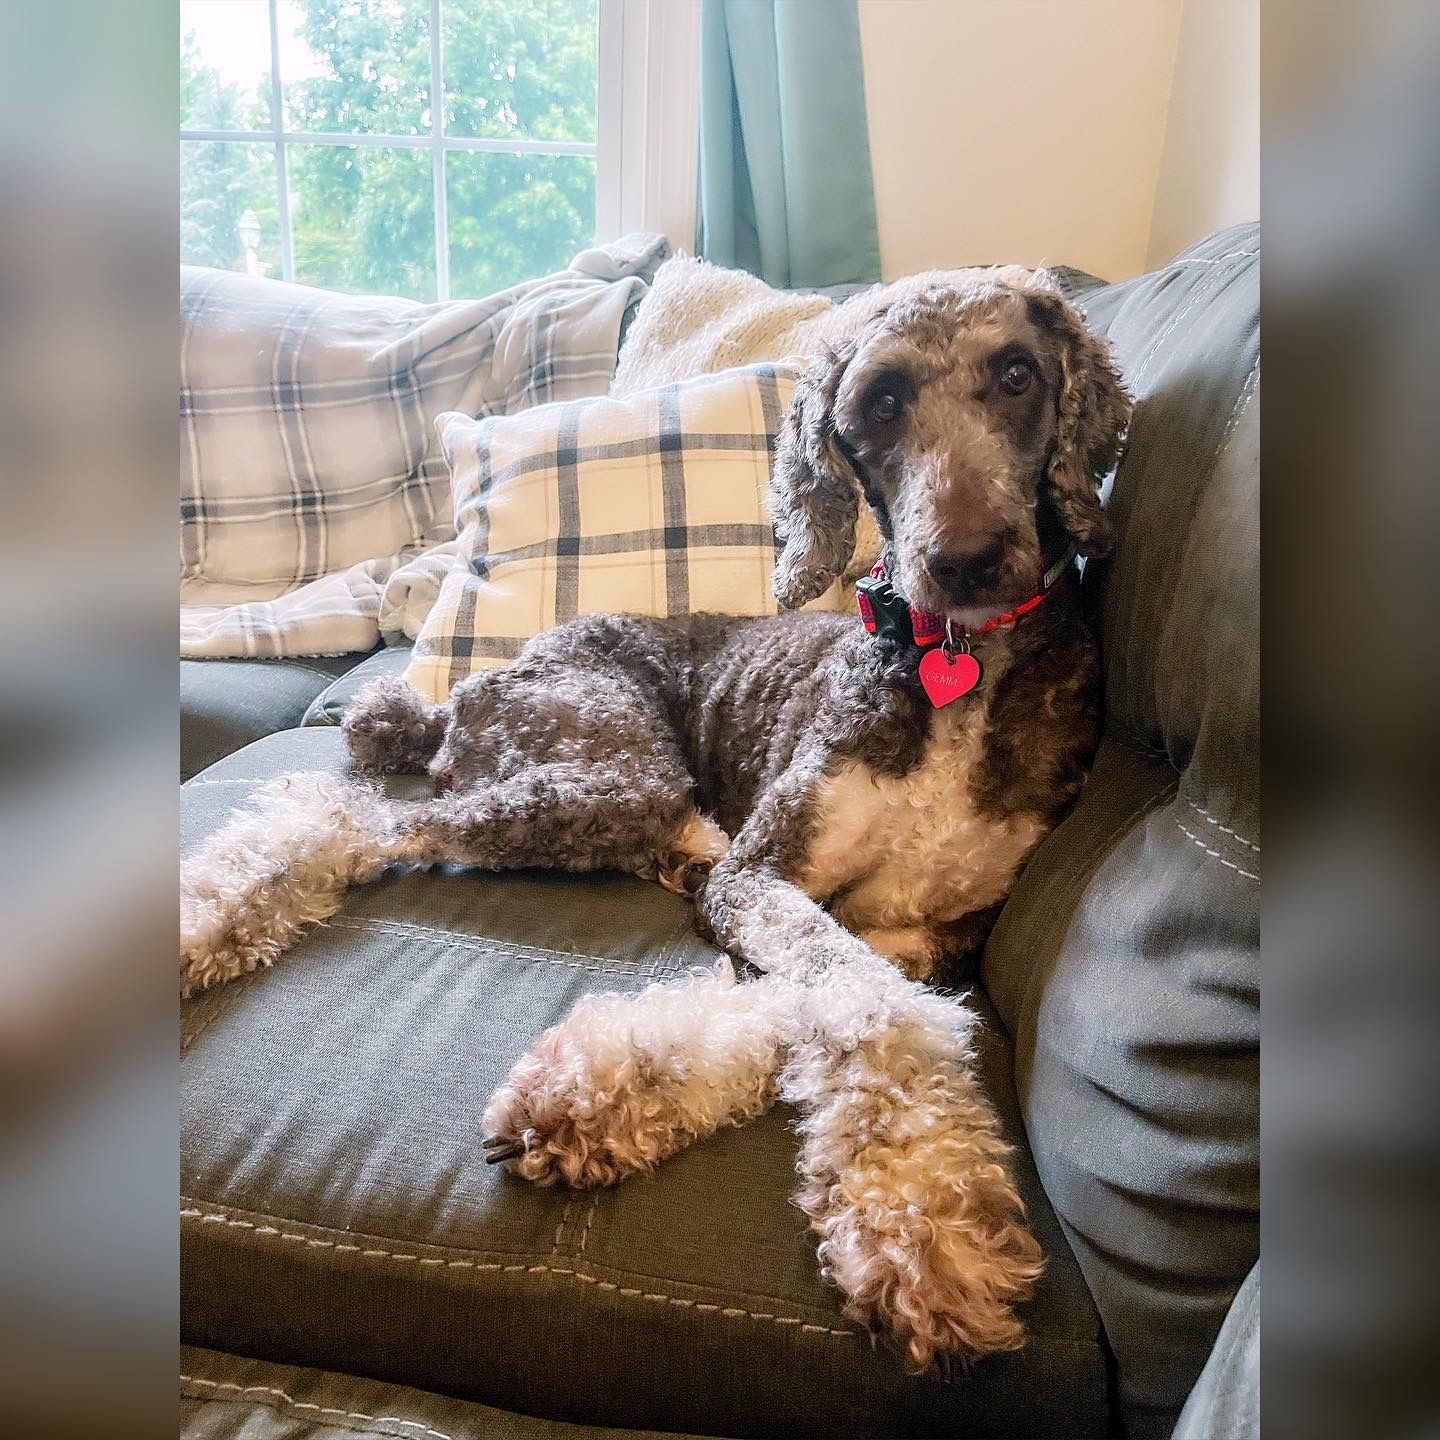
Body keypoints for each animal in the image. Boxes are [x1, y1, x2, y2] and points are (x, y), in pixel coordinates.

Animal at [180, 278, 1130, 1370]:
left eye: (1017, 375)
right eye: (881, 404)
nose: (964, 561)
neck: (957, 669)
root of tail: (470, 689)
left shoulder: (936, 926)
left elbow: (831, 993)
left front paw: (604, 1094)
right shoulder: (765, 875)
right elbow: (871, 1002)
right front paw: (929, 1231)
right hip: (611, 777)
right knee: (354, 815)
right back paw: (204, 922)